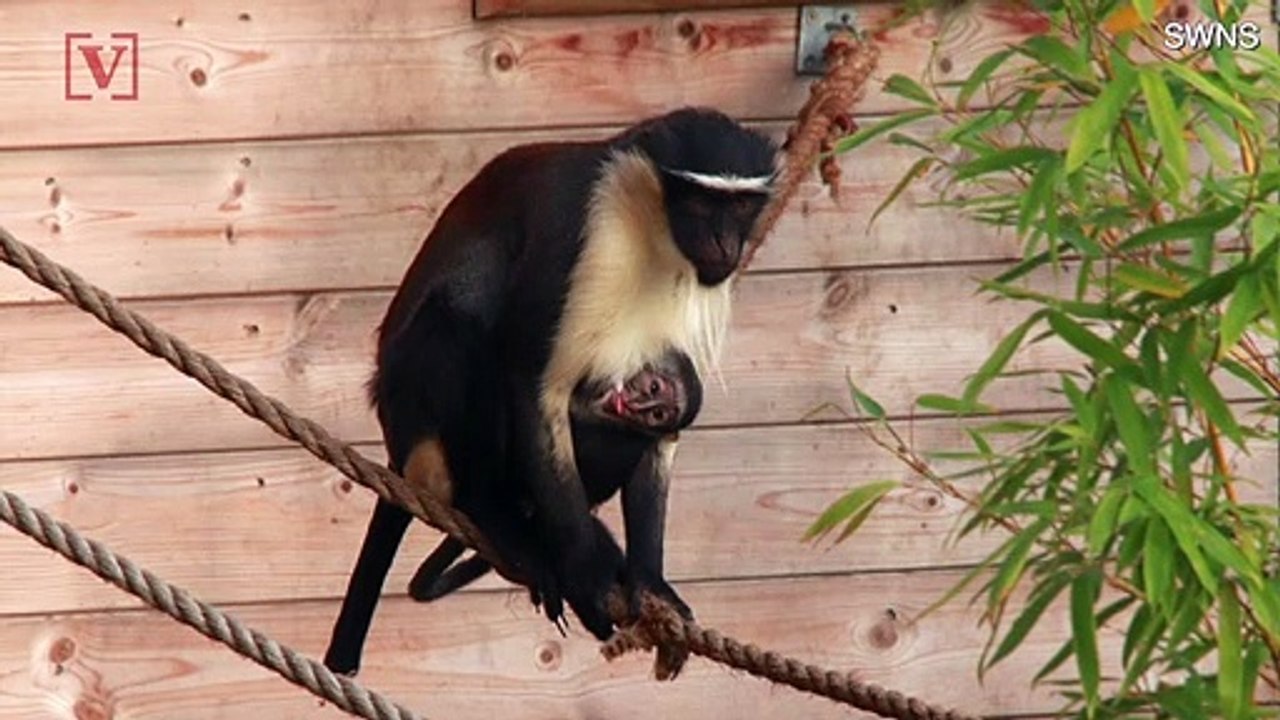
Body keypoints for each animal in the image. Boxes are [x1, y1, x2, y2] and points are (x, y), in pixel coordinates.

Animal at [323, 107, 776, 675]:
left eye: (740, 206)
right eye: (700, 202)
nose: (725, 245)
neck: (650, 225)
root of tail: (399, 446)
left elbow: (661, 438)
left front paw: (650, 583)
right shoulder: (576, 227)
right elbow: (535, 380)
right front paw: (585, 573)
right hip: (423, 412)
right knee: (453, 328)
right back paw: (503, 520)